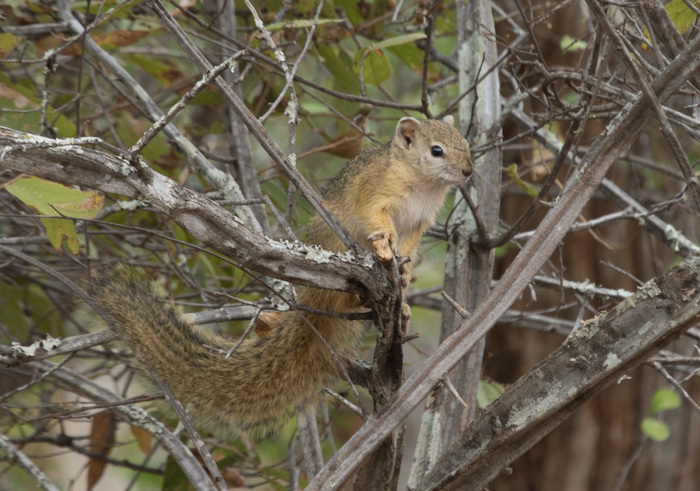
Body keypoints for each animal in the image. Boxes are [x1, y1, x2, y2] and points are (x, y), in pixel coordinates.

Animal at [93, 116, 474, 438]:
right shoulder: (375, 192)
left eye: (466, 142)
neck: (423, 184)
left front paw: (405, 271)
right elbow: (377, 218)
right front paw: (385, 240)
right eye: (436, 150)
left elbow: (408, 246)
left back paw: (402, 306)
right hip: (336, 243)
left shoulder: (418, 224)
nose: (469, 171)